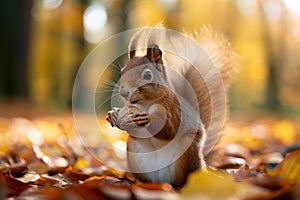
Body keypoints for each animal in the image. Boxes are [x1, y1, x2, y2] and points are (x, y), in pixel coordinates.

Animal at [105, 25, 237, 188]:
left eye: (147, 75)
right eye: (122, 71)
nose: (124, 92)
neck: (144, 103)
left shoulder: (173, 108)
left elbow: (170, 128)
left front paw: (148, 119)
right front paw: (113, 114)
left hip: (187, 151)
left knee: (182, 179)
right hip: (134, 154)